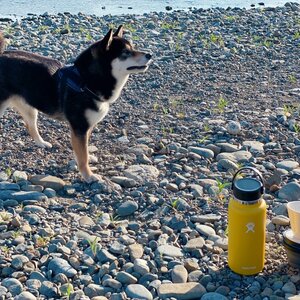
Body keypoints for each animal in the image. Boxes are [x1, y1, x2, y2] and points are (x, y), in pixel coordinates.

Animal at [0, 26, 151, 183]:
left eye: (132, 48)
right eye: (125, 53)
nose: (149, 55)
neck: (85, 81)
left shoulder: (87, 127)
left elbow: (84, 150)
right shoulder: (79, 127)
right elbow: (83, 156)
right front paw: (88, 175)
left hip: (30, 109)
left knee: (30, 126)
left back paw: (41, 143)